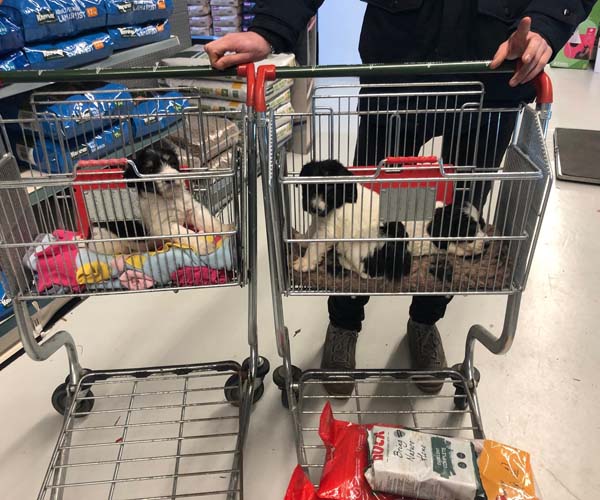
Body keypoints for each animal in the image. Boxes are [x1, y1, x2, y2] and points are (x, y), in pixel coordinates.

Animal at [90, 139, 228, 255]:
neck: (171, 198)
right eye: (150, 170)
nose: (170, 179)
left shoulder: (193, 209)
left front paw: (226, 229)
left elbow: (209, 221)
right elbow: (188, 233)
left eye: (173, 163)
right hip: (111, 244)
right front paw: (204, 245)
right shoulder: (165, 225)